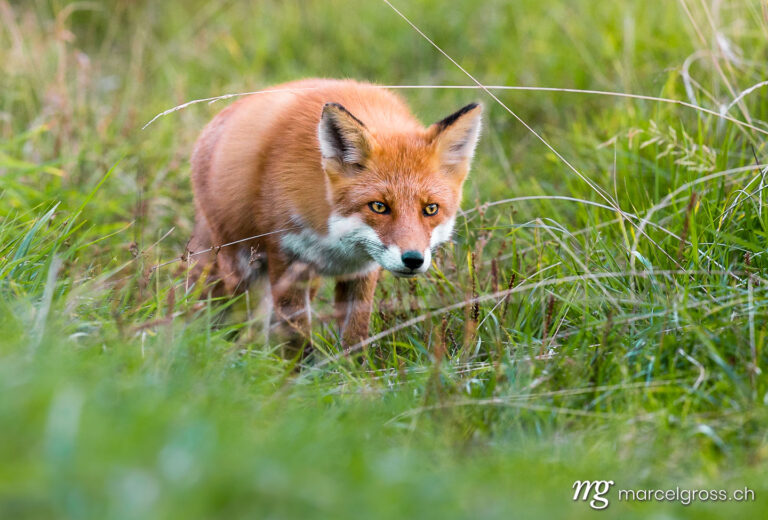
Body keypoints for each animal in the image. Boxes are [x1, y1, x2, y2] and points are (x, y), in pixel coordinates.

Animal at [186, 78, 480, 354]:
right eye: (379, 206)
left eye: (430, 209)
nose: (413, 260)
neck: (337, 241)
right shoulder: (287, 258)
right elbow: (296, 340)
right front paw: (293, 374)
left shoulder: (361, 271)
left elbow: (355, 337)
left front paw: (354, 371)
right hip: (240, 269)